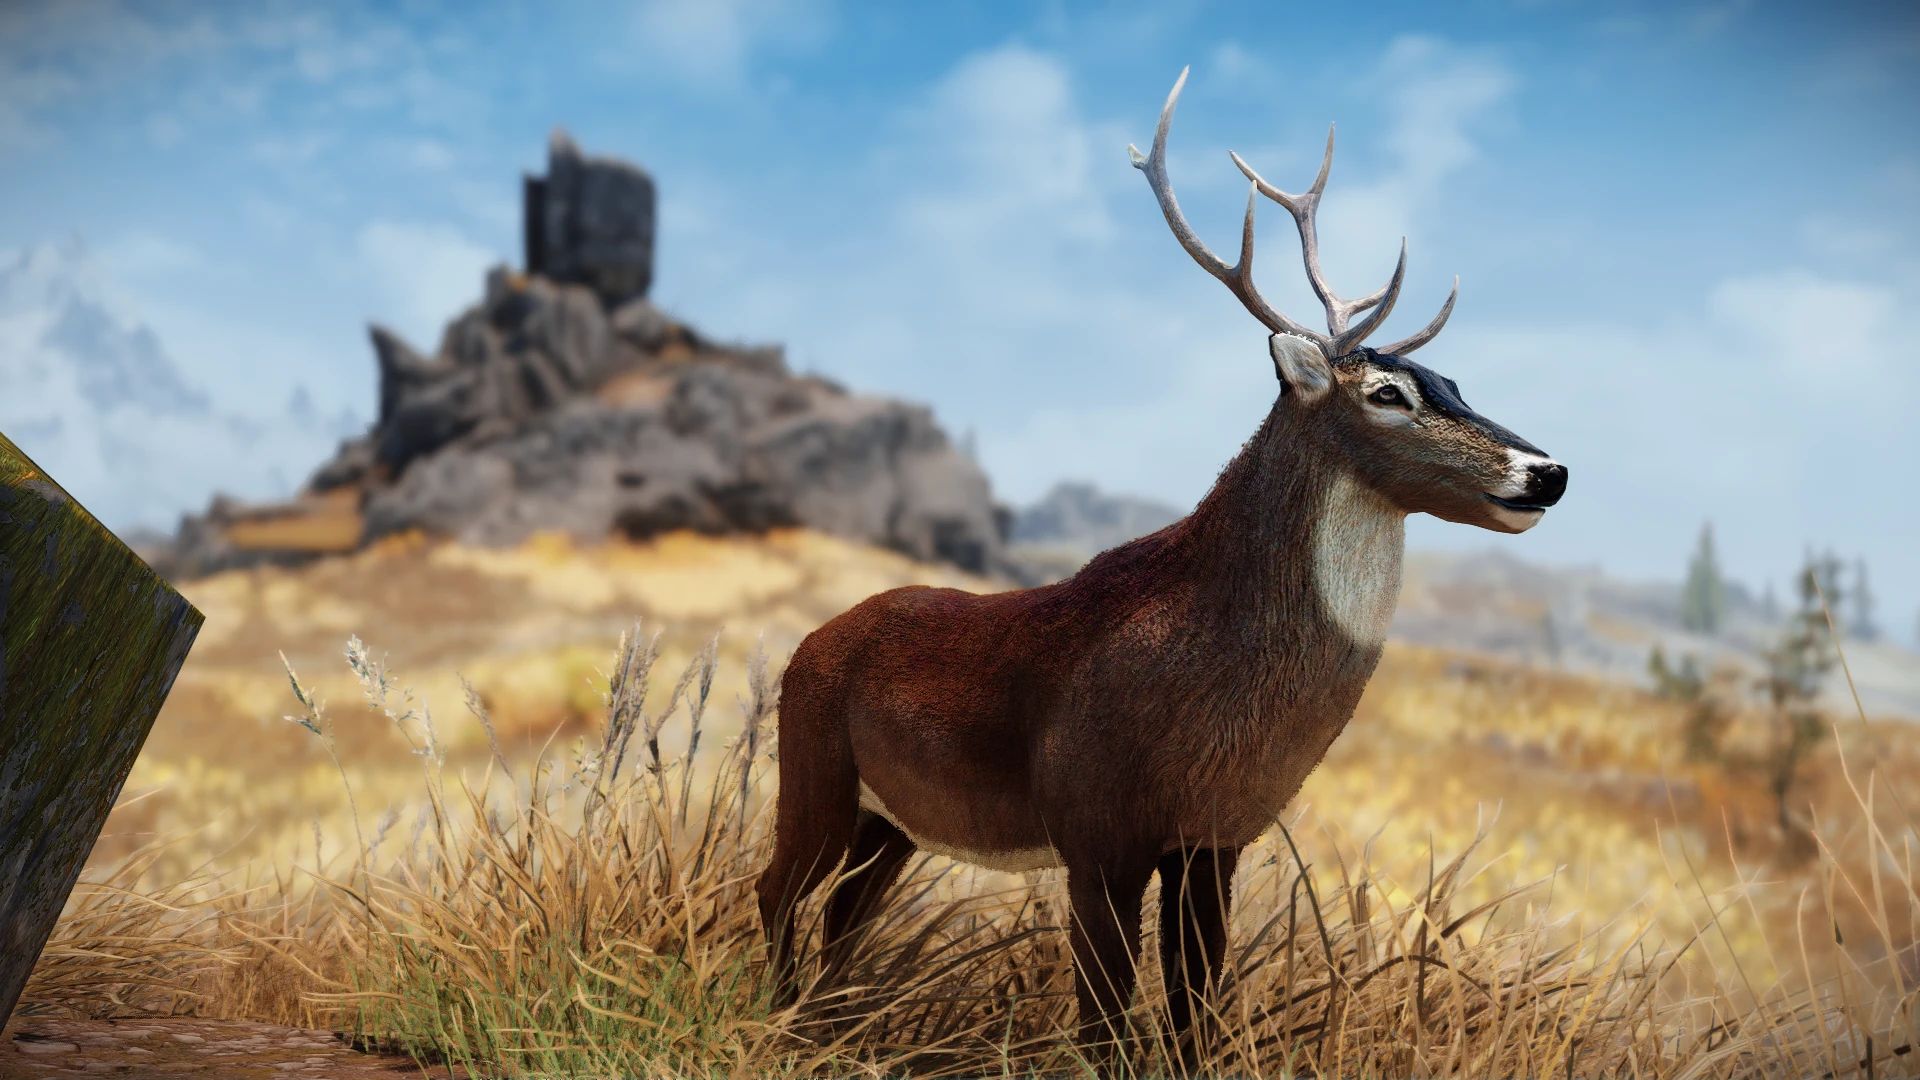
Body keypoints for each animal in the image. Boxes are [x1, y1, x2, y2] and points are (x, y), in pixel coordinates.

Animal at [756, 67, 1567, 1057]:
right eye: (1387, 393)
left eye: (1454, 382)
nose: (1548, 471)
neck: (1212, 682)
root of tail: (809, 645)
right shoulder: (1097, 831)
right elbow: (1104, 1018)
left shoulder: (1213, 839)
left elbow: (1196, 1009)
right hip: (815, 767)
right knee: (778, 888)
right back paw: (774, 1020)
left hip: (896, 822)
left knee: (846, 911)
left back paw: (824, 1030)